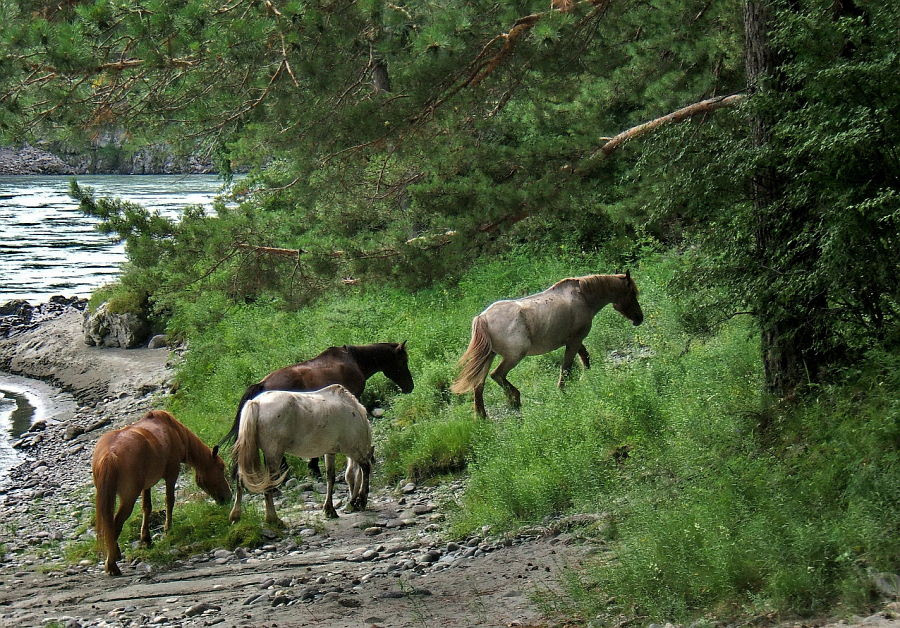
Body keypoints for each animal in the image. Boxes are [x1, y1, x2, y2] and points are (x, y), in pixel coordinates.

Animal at [91, 410, 232, 576]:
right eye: (221, 467)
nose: (228, 497)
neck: (174, 431)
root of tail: (110, 454)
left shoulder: (146, 485)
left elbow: (147, 507)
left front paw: (146, 539)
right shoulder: (172, 474)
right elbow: (169, 501)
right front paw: (167, 530)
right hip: (128, 497)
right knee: (115, 524)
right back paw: (112, 564)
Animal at [228, 385, 374, 526]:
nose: (351, 505)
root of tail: (256, 402)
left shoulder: (330, 452)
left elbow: (331, 478)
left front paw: (329, 509)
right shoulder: (353, 450)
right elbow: (364, 470)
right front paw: (362, 500)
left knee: (241, 479)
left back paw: (236, 516)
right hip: (274, 454)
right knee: (268, 483)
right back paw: (273, 519)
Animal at [451, 271, 644, 417]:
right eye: (632, 294)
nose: (639, 319)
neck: (582, 296)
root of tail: (482, 317)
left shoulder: (574, 340)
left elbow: (584, 358)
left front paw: (587, 378)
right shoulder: (574, 340)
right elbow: (566, 368)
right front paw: (564, 391)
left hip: (489, 357)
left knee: (478, 386)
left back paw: (484, 417)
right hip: (514, 356)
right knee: (497, 375)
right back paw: (515, 399)